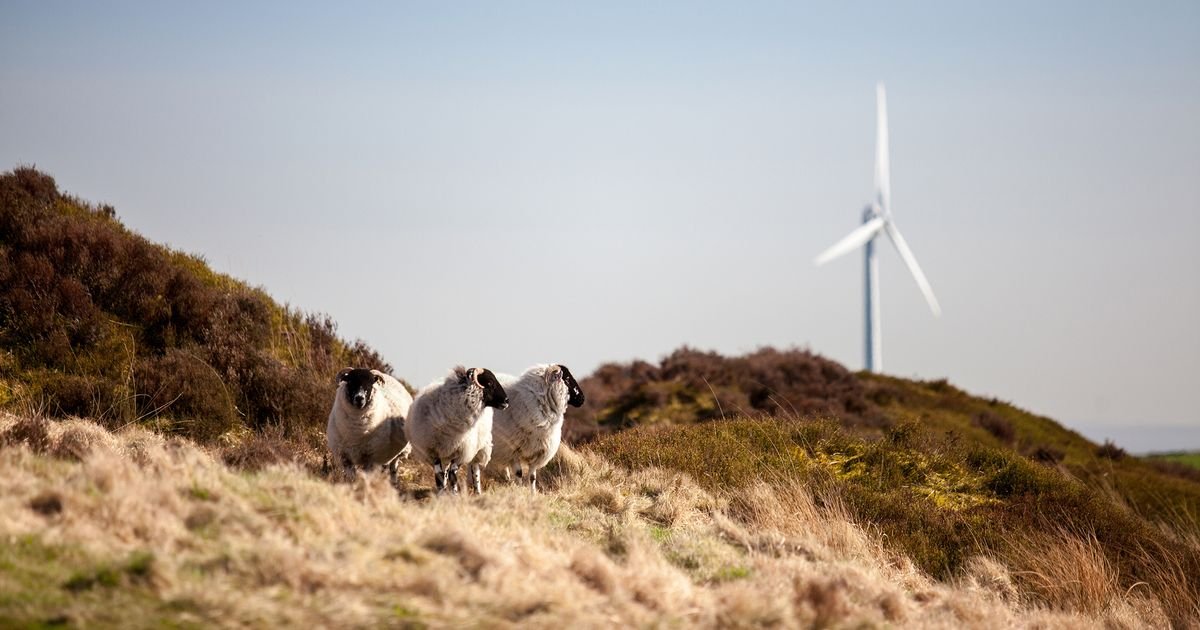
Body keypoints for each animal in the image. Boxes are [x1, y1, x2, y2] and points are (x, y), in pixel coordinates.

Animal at [405, 364, 508, 494]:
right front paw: (442, 493)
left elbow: (453, 474)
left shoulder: (462, 452)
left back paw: (477, 491)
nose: (506, 401)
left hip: (478, 448)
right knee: (445, 472)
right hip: (446, 454)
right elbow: (439, 475)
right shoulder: (432, 451)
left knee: (475, 469)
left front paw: (454, 494)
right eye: (489, 382)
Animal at [484, 362, 583, 492]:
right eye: (566, 378)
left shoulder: (538, 452)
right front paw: (520, 491)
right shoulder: (513, 450)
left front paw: (533, 493)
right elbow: (519, 474)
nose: (582, 398)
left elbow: (532, 477)